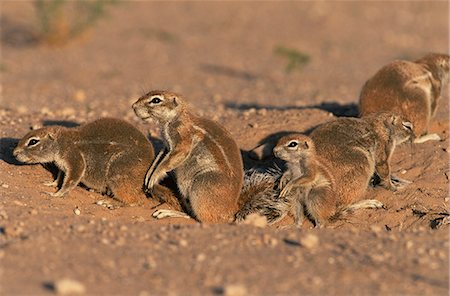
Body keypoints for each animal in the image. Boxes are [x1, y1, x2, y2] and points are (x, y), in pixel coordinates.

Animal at [12, 117, 174, 206]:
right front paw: (51, 184)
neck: (62, 142)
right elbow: (60, 176)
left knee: (135, 200)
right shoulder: (63, 165)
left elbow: (71, 179)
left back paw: (109, 203)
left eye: (33, 141)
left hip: (118, 172)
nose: (14, 153)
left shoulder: (74, 158)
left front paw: (57, 194)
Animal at [132, 90, 244, 222]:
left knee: (201, 219)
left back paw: (166, 212)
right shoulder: (167, 147)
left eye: (156, 100)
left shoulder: (182, 141)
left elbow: (167, 162)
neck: (176, 117)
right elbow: (159, 159)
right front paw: (149, 174)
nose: (133, 106)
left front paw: (154, 176)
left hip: (199, 187)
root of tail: (231, 212)